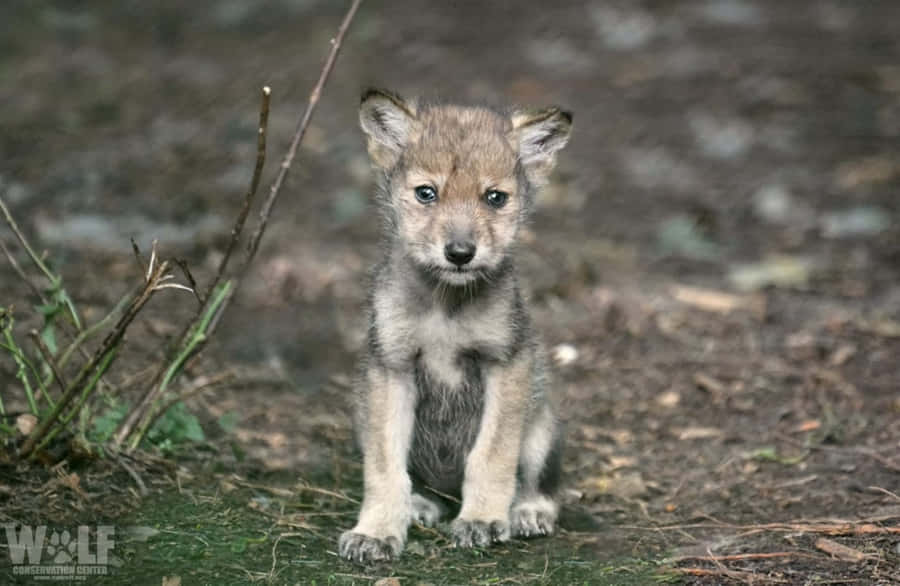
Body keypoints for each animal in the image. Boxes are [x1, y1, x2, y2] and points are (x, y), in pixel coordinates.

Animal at [339, 88, 572, 563]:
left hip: (542, 428)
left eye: (495, 197)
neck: (445, 308)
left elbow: (491, 456)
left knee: (541, 484)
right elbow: (385, 468)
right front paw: (376, 531)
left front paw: (482, 519)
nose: (461, 252)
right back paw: (421, 505)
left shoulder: (505, 362)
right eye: (427, 193)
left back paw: (527, 511)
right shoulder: (391, 369)